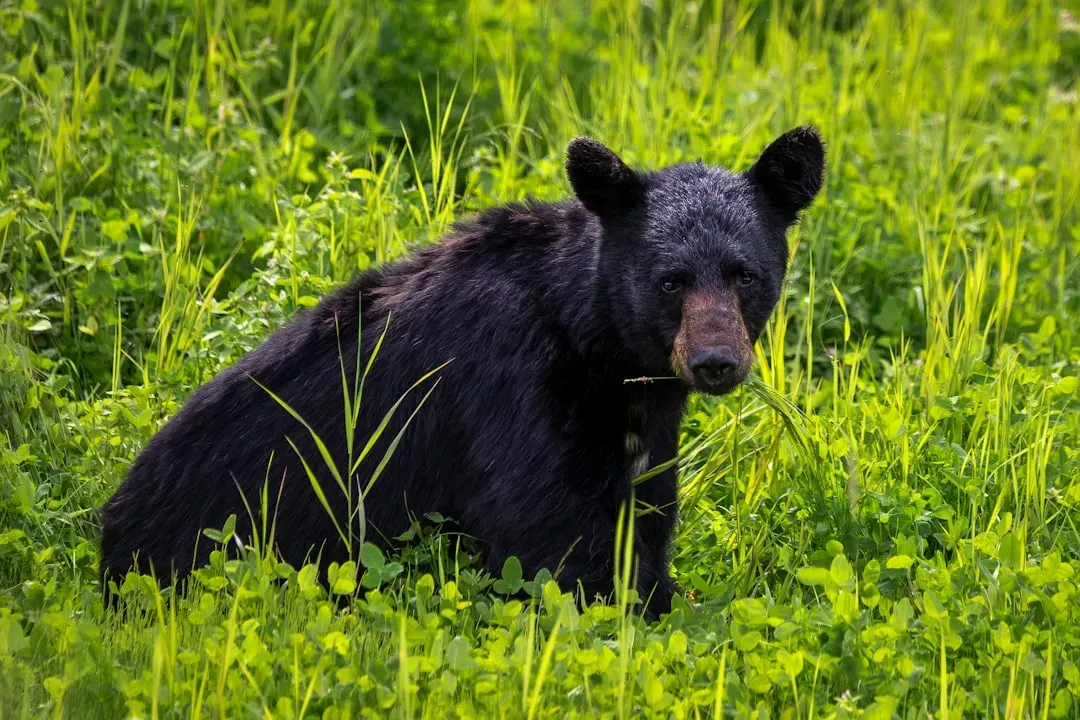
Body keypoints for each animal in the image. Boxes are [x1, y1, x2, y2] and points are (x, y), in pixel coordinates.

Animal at [99, 127, 825, 619]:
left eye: (745, 274)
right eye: (670, 280)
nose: (715, 361)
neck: (595, 346)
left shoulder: (641, 427)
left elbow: (643, 513)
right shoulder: (515, 390)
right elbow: (552, 539)